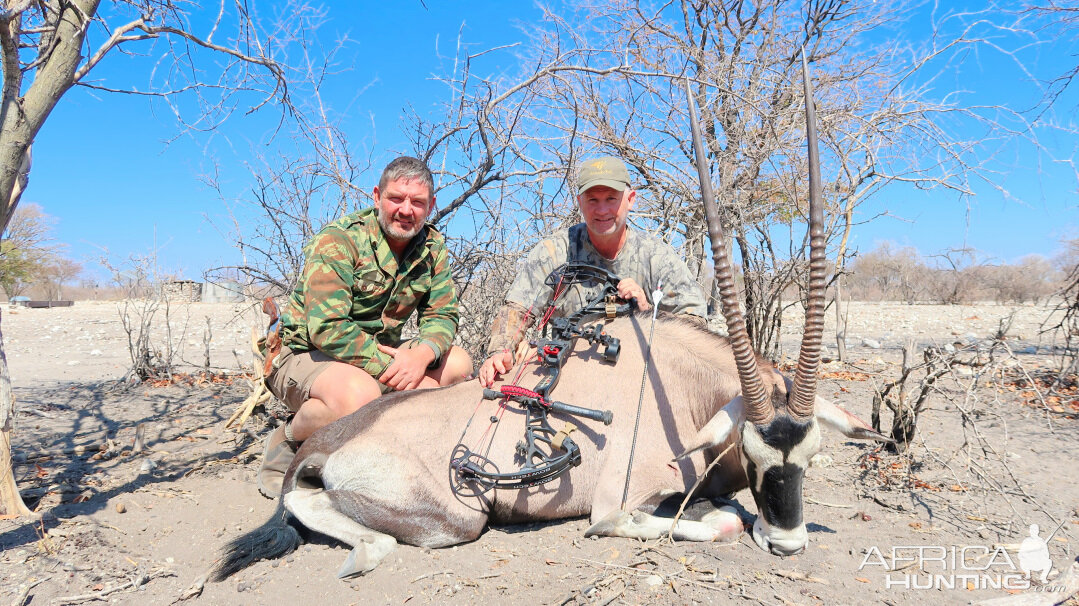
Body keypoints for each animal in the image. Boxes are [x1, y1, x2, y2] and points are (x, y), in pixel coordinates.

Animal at [214, 57, 889, 582]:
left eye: (812, 452)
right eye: (752, 450)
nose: (788, 543)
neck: (680, 386)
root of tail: (326, 445)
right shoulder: (618, 506)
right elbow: (716, 520)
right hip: (459, 518)